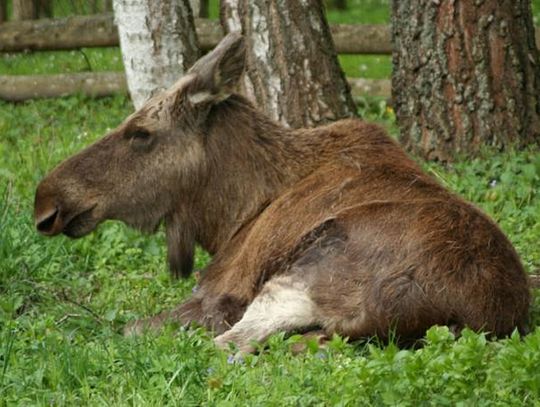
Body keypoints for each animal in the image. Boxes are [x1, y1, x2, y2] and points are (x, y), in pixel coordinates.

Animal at [34, 33, 532, 352]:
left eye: (140, 133)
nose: (47, 200)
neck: (230, 215)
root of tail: (479, 318)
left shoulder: (221, 289)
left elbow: (133, 328)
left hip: (307, 267)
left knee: (229, 347)